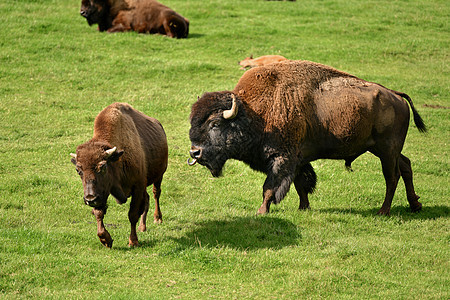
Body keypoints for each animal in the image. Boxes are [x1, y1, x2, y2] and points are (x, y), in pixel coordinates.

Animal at [70, 102, 169, 247]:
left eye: (103, 167)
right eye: (78, 170)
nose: (90, 199)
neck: (116, 159)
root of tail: (159, 124)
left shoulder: (137, 187)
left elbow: (132, 214)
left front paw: (133, 241)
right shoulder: (102, 193)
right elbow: (99, 213)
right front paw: (105, 240)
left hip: (159, 175)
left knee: (156, 194)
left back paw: (157, 219)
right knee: (147, 198)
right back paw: (142, 227)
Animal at [188, 60, 428, 216]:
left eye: (215, 124)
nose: (194, 152)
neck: (253, 113)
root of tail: (396, 95)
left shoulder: (281, 159)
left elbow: (270, 187)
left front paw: (261, 211)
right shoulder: (298, 159)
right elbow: (300, 184)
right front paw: (304, 207)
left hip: (386, 150)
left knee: (392, 176)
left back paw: (383, 211)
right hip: (386, 150)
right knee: (406, 165)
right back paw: (415, 205)